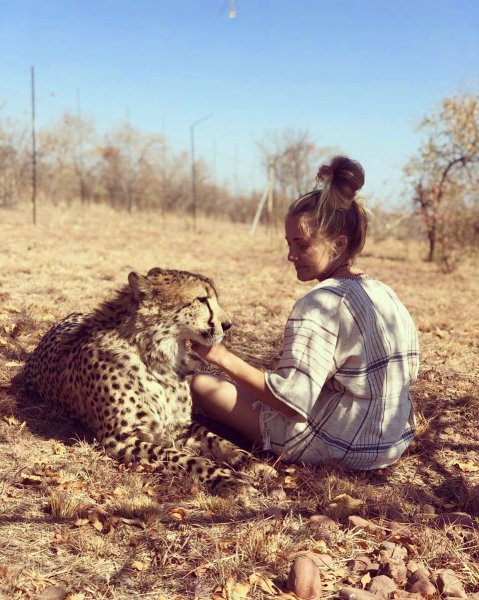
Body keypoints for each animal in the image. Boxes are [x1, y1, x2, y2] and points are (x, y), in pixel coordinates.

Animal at [24, 268, 270, 492]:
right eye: (201, 299)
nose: (228, 325)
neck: (157, 358)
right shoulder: (120, 439)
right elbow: (181, 457)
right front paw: (226, 479)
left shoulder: (179, 425)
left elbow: (218, 440)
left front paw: (251, 462)